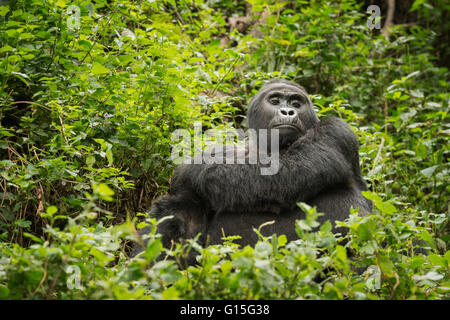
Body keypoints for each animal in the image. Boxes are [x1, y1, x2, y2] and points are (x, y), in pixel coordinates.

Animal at [134, 79, 372, 262]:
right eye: (274, 101)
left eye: (297, 103)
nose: (288, 111)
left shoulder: (336, 130)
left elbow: (288, 173)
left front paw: (192, 171)